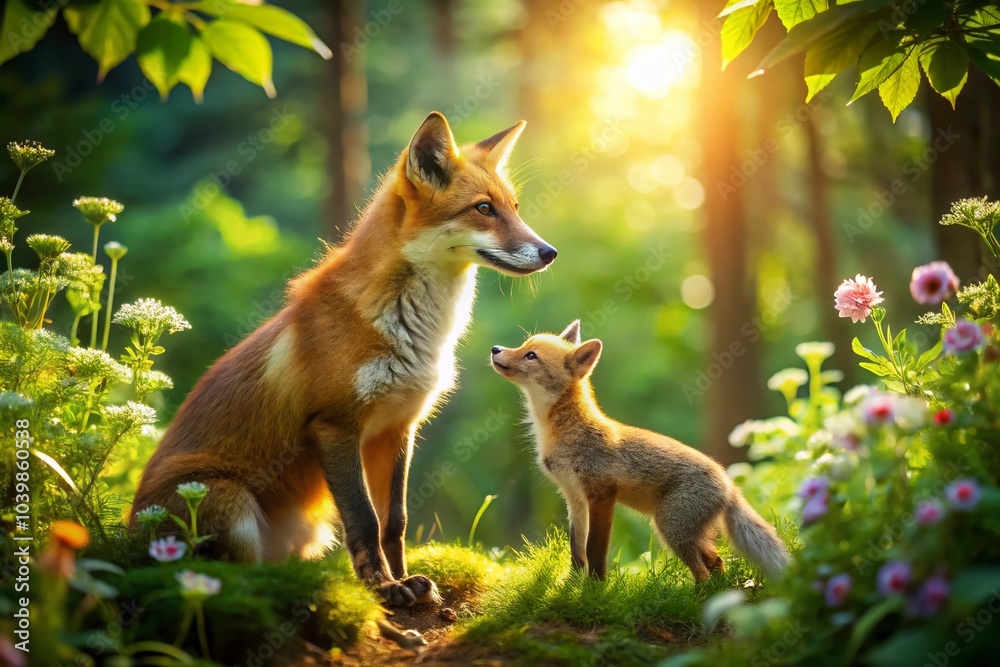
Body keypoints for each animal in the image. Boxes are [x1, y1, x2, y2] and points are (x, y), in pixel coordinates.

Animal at [130, 112, 557, 607]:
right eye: (484, 209)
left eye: (515, 207)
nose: (549, 252)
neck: (416, 331)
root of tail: (124, 533)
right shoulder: (335, 425)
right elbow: (364, 519)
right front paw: (382, 588)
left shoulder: (397, 426)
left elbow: (395, 521)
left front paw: (404, 579)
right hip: (227, 499)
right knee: (221, 577)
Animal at [490, 321, 789, 581]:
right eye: (523, 345)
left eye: (531, 355)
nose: (495, 348)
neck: (562, 432)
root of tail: (728, 481)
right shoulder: (574, 498)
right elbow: (577, 550)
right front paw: (571, 585)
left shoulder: (602, 494)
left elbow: (595, 551)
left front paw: (595, 590)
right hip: (684, 534)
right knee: (716, 562)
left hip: (670, 529)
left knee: (703, 573)